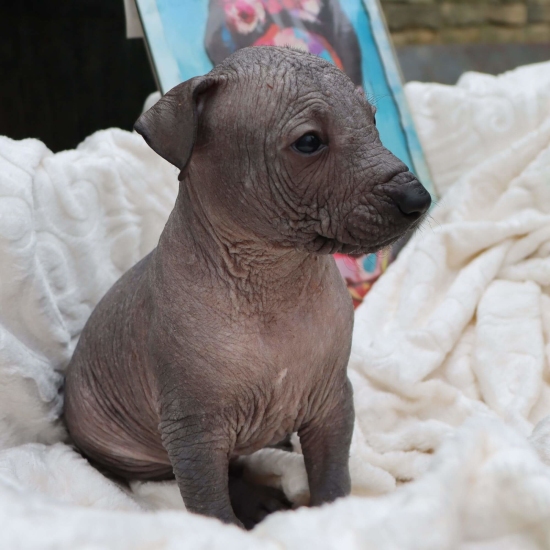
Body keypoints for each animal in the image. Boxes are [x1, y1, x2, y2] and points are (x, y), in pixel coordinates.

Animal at [64, 46, 434, 532]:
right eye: (309, 142)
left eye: (372, 121)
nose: (419, 199)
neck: (271, 278)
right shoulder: (193, 432)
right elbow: (211, 505)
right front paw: (232, 529)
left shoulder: (333, 402)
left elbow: (333, 474)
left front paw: (333, 516)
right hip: (139, 452)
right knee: (221, 472)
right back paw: (257, 501)